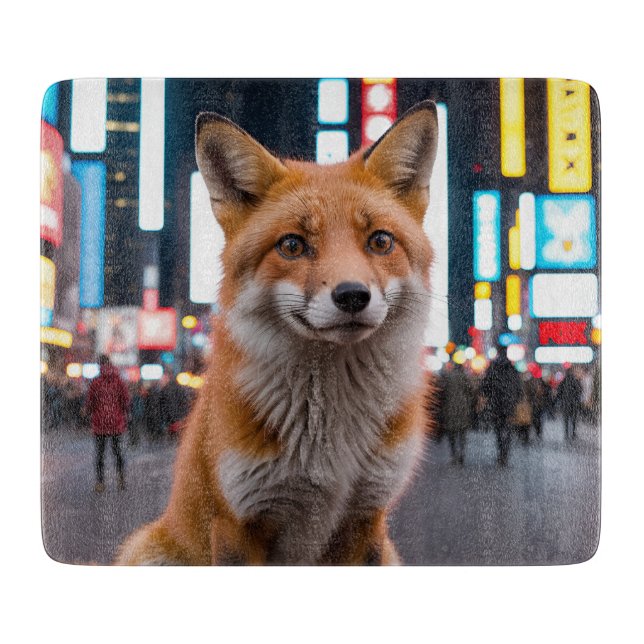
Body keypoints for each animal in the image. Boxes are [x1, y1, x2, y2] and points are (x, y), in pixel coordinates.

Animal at [116, 100, 439, 565]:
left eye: (380, 241)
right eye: (292, 245)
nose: (352, 296)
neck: (328, 437)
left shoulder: (366, 516)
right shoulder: (236, 522)